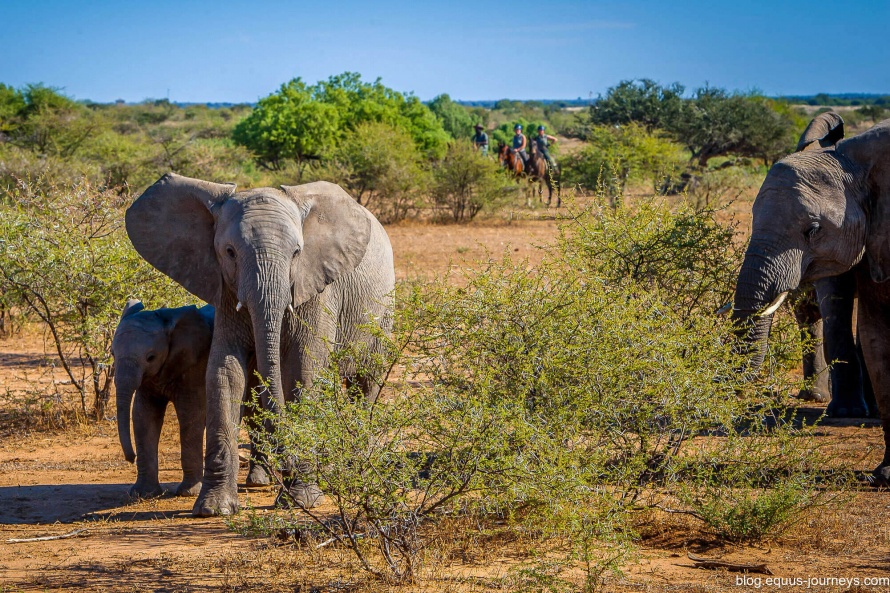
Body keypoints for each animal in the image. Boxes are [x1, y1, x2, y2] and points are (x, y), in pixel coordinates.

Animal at [111, 298, 213, 498]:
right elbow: (143, 416)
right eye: (112, 354)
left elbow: (190, 415)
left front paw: (189, 494)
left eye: (151, 357)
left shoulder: (195, 364)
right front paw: (143, 494)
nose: (131, 458)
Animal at [124, 172, 392, 512]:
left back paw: (352, 470)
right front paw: (214, 508)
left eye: (297, 253)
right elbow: (225, 371)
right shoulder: (225, 290)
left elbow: (302, 370)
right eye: (229, 252)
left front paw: (302, 500)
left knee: (365, 384)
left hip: (383, 310)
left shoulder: (317, 289)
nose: (287, 464)